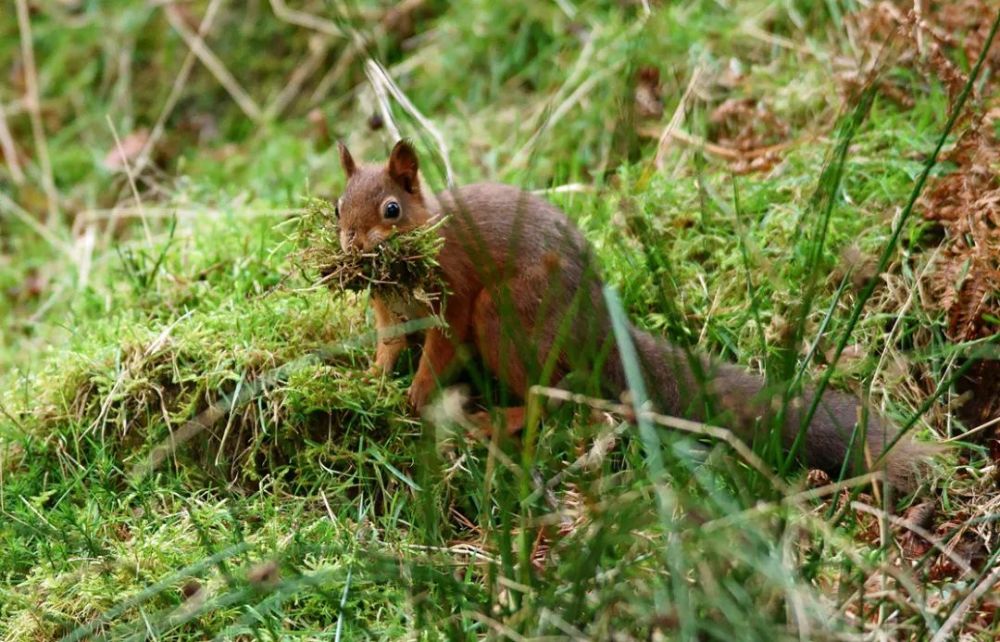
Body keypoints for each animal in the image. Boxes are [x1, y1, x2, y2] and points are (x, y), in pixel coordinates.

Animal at [332, 139, 932, 490]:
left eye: (392, 209)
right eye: (338, 205)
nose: (351, 244)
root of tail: (598, 322)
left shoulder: (454, 294)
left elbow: (441, 348)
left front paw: (417, 393)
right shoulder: (389, 310)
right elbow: (388, 345)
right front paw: (371, 377)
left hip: (504, 316)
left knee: (549, 397)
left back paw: (499, 419)